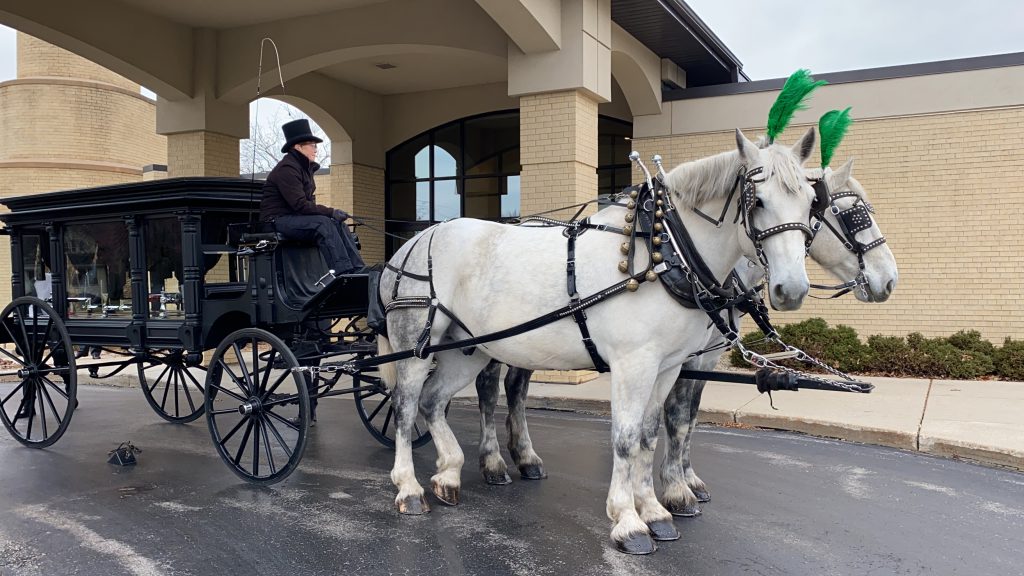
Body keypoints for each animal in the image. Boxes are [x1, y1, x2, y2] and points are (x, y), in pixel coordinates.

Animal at [380, 129, 819, 553]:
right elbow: (625, 438)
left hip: (467, 348)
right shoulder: (633, 363)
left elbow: (648, 434)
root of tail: (410, 245)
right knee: (405, 406)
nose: (791, 289)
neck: (665, 254)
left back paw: (449, 474)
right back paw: (409, 488)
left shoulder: (667, 366)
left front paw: (655, 511)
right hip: (416, 346)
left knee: (433, 401)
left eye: (812, 204)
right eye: (758, 201)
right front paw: (628, 521)